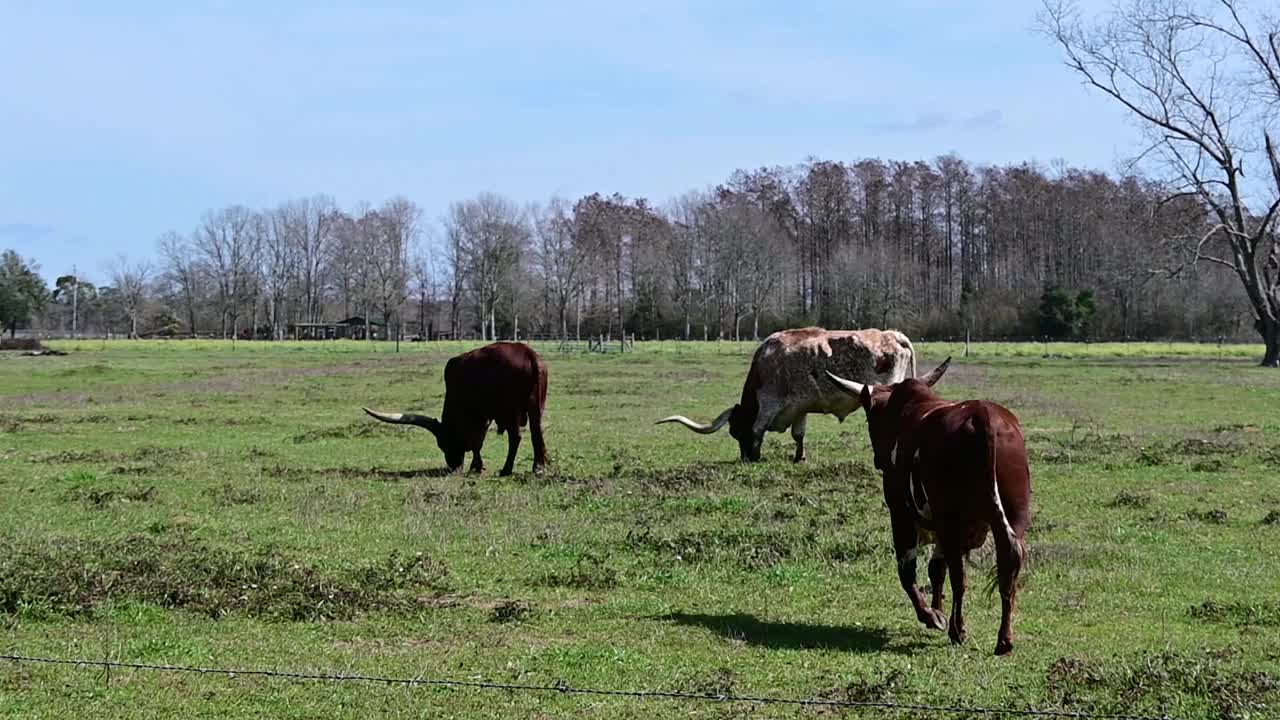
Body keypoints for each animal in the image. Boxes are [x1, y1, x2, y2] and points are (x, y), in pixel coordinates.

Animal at [368, 340, 552, 476]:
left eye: (444, 443)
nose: (454, 467)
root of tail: (528, 353)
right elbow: (478, 441)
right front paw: (476, 466)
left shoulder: (479, 415)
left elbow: (476, 442)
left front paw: (476, 466)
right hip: (536, 408)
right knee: (536, 432)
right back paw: (538, 467)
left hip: (510, 411)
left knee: (516, 437)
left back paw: (506, 470)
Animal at [655, 325, 916, 458]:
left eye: (735, 432)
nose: (744, 459)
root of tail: (892, 334)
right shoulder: (799, 407)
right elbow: (798, 434)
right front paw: (799, 457)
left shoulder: (769, 403)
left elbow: (758, 429)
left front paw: (757, 457)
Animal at [829, 356, 1029, 653]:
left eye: (869, 417)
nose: (878, 459)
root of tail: (984, 417)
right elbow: (936, 568)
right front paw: (937, 609)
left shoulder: (902, 514)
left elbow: (908, 570)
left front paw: (930, 615)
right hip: (1011, 517)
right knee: (1009, 563)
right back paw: (1004, 639)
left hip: (951, 519)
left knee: (959, 576)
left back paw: (958, 630)